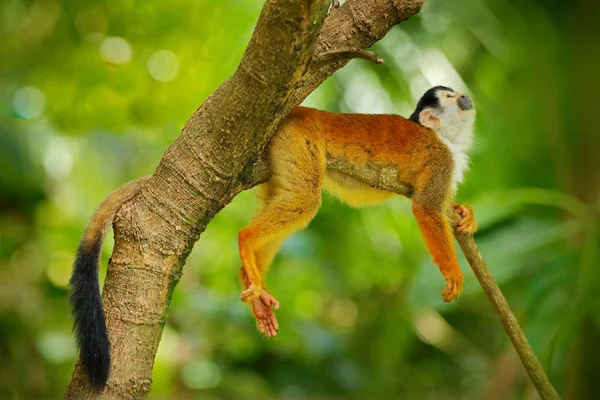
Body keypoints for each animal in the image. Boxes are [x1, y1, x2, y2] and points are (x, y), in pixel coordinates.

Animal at [239, 86, 478, 336]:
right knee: (305, 201)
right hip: (299, 138)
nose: (464, 96)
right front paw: (452, 273)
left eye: (455, 93)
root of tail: (298, 111)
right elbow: (427, 207)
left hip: (278, 150)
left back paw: (254, 290)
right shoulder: (442, 159)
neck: (444, 137)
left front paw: (464, 212)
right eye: (450, 97)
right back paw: (246, 241)